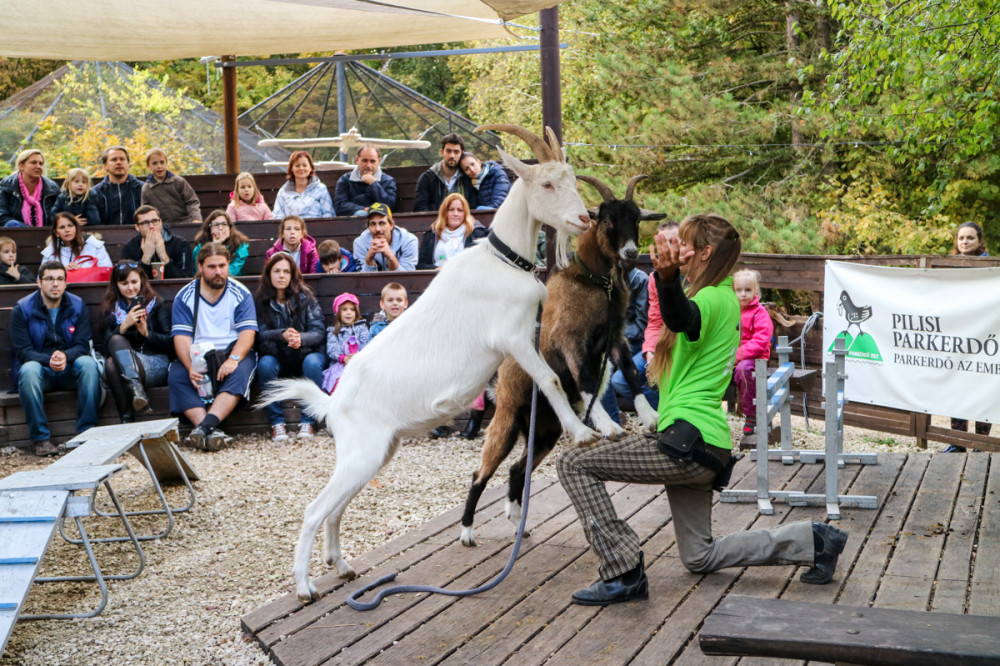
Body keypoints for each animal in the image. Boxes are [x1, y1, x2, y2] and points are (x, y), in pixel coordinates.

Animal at [262, 124, 596, 600]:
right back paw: (306, 587)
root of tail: (333, 403)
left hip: (374, 454)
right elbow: (550, 380)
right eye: (548, 184)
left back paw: (342, 567)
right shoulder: (513, 338)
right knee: (314, 509)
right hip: (362, 452)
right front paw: (583, 432)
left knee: (335, 509)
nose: (585, 219)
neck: (501, 261)